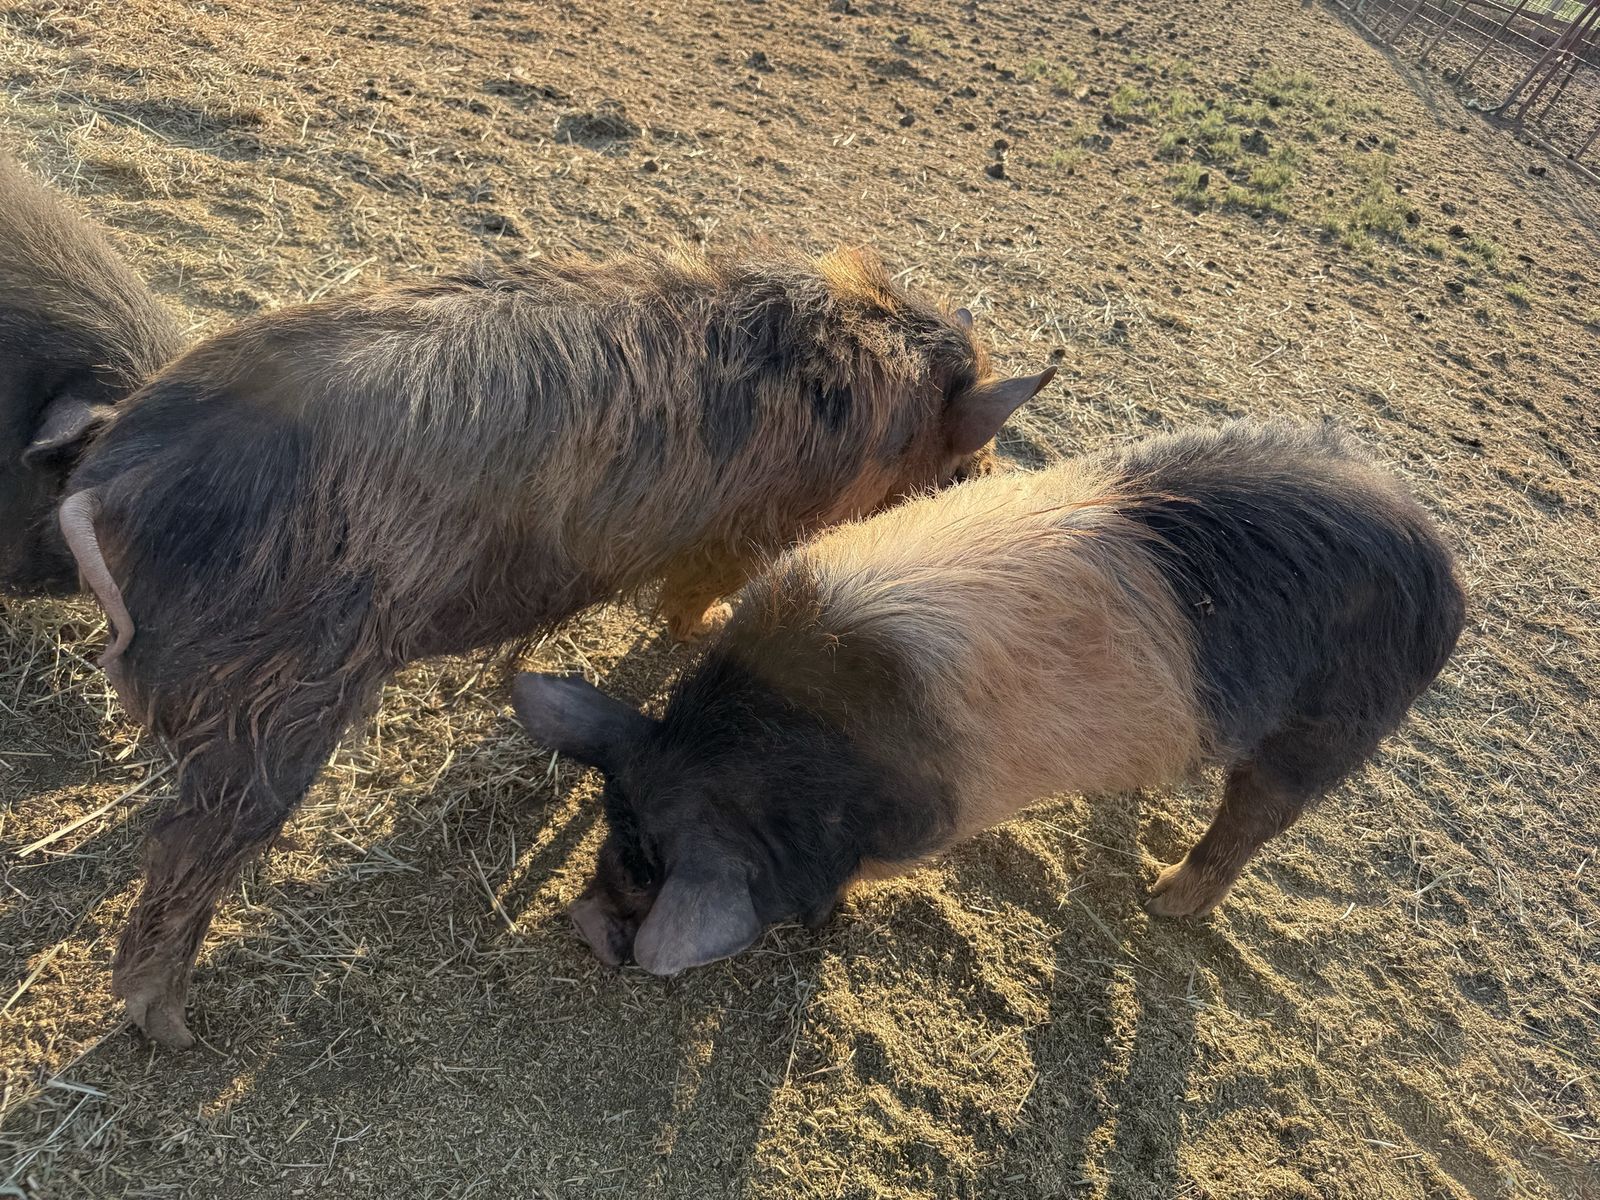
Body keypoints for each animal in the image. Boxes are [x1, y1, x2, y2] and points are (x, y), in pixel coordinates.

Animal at [59, 243, 1055, 1046]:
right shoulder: (748, 526)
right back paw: (174, 1031)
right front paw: (696, 629)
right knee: (189, 851)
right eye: (960, 463)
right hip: (286, 690)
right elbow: (696, 596)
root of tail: (118, 478)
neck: (876, 396)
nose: (981, 484)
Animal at [513, 420, 1467, 976]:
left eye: (650, 872)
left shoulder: (923, 820)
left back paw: (1163, 898)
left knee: (1255, 817)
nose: (585, 922)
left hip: (1328, 730)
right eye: (613, 835)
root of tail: (1443, 566)